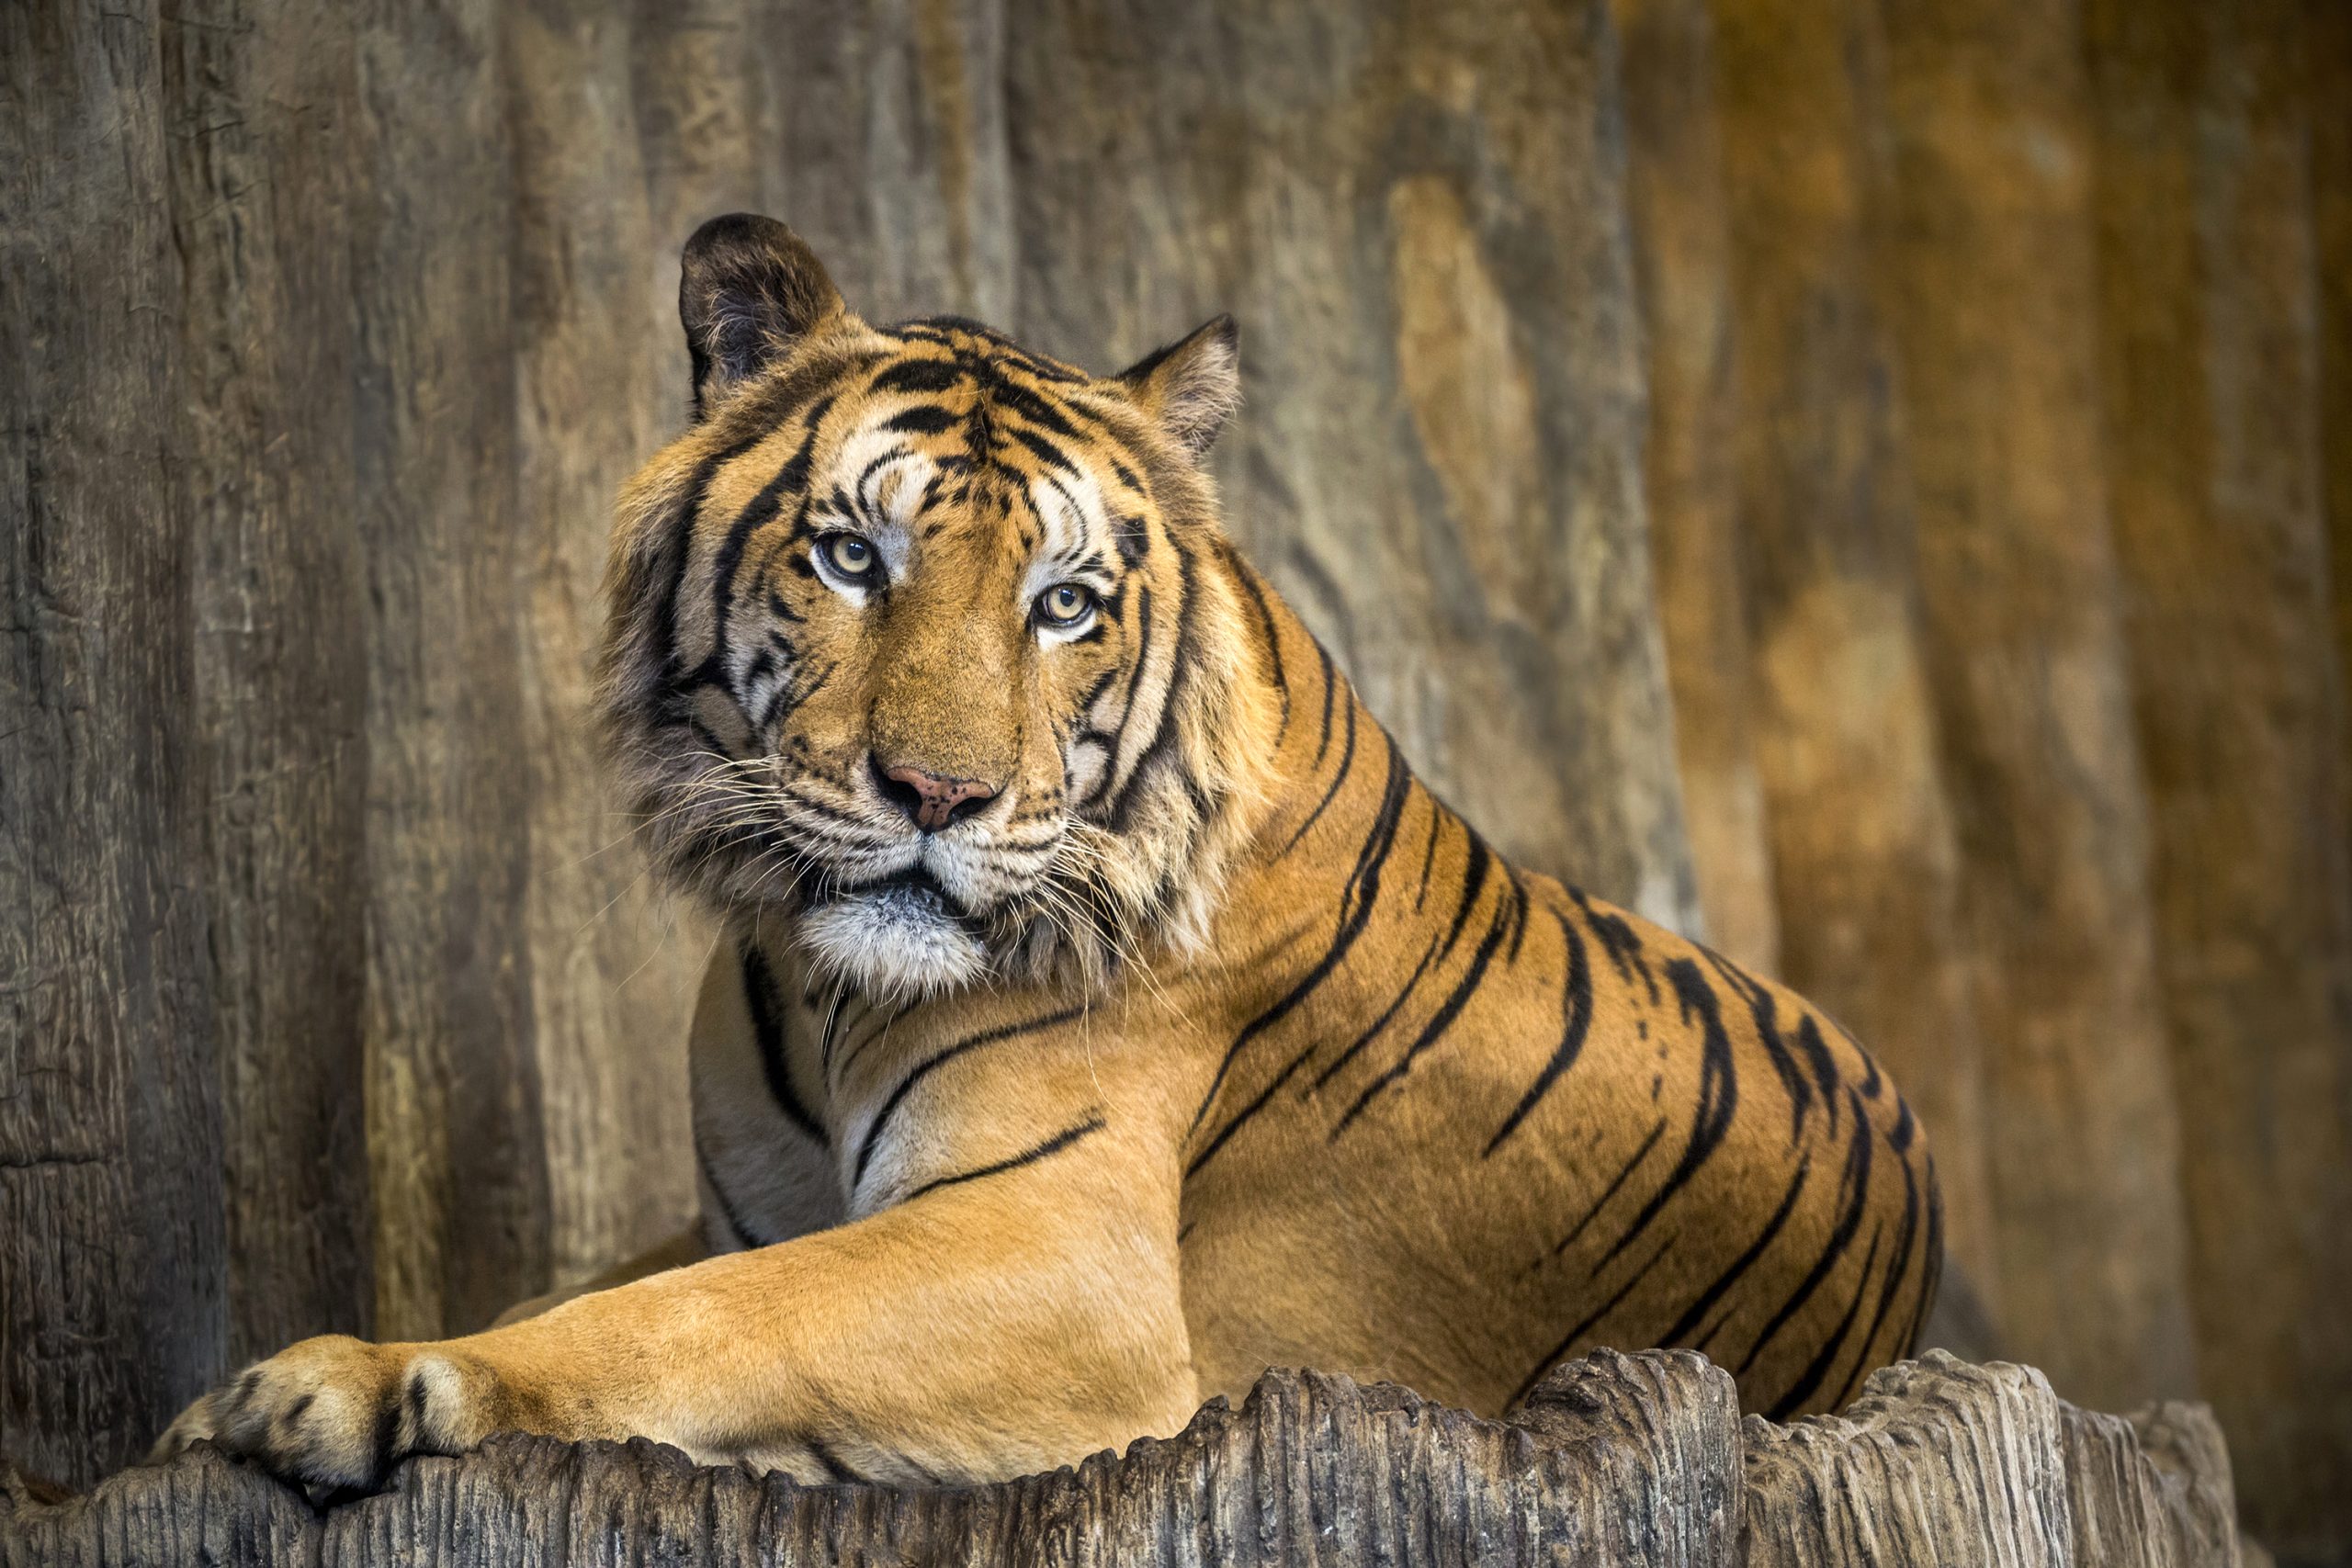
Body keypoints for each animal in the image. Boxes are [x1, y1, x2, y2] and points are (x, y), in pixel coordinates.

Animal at [155, 213, 1940, 1493]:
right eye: (851, 558)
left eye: (1065, 602)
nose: (934, 792)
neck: (818, 988)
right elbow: (607, 1285)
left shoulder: (1051, 1253)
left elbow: (690, 1320)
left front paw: (361, 1384)